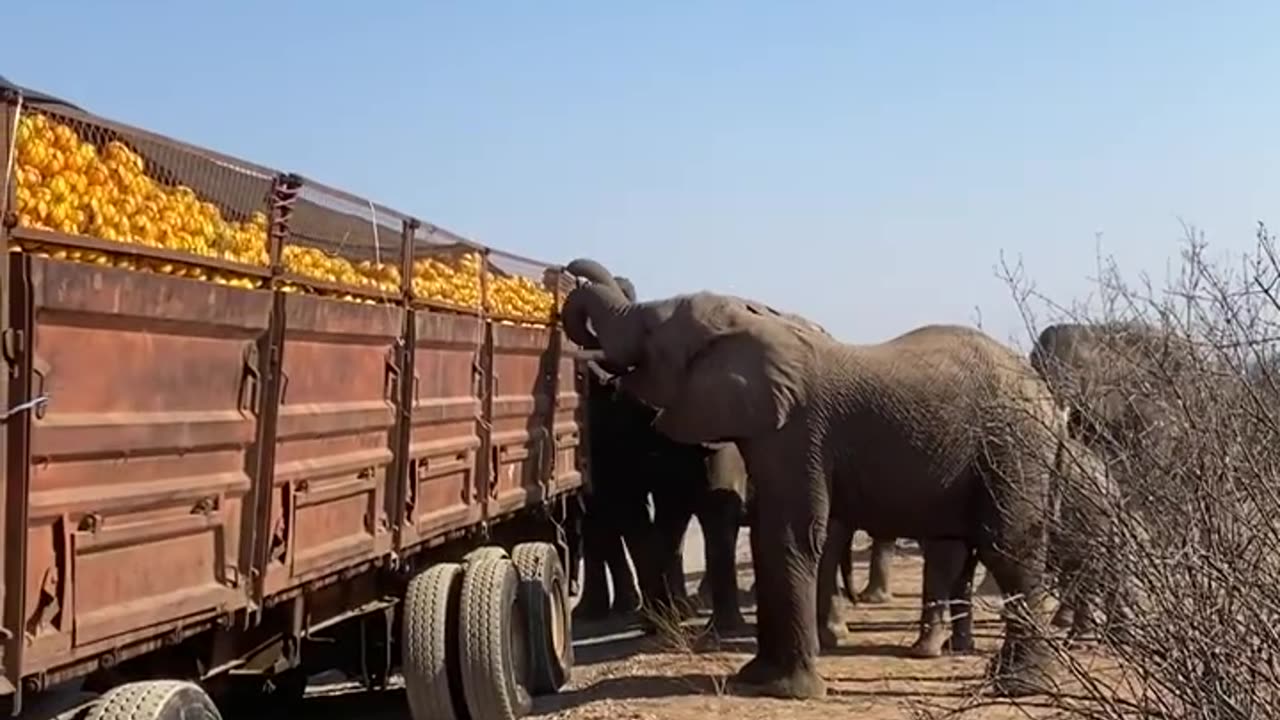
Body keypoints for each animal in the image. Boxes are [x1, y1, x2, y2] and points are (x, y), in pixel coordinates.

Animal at [565, 267, 1075, 696]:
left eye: (651, 330)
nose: (569, 273)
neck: (755, 323)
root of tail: (1050, 399)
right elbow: (771, 537)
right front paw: (756, 679)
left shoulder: (798, 431)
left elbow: (791, 534)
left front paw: (787, 691)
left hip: (1011, 447)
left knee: (1007, 547)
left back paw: (1021, 685)